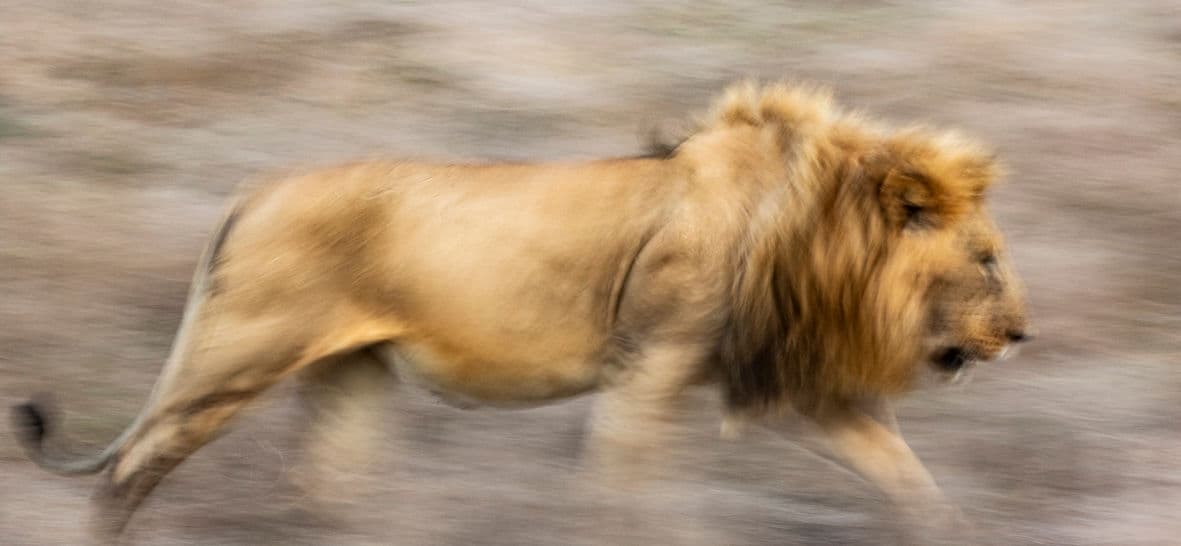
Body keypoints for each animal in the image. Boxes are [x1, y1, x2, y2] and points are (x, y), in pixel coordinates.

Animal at [11, 80, 1030, 542]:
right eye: (984, 259)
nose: (1022, 336)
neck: (812, 235)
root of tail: (254, 190)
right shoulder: (650, 366)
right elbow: (619, 485)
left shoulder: (786, 386)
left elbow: (903, 473)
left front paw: (956, 532)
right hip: (239, 357)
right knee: (131, 464)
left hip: (349, 375)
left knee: (321, 483)